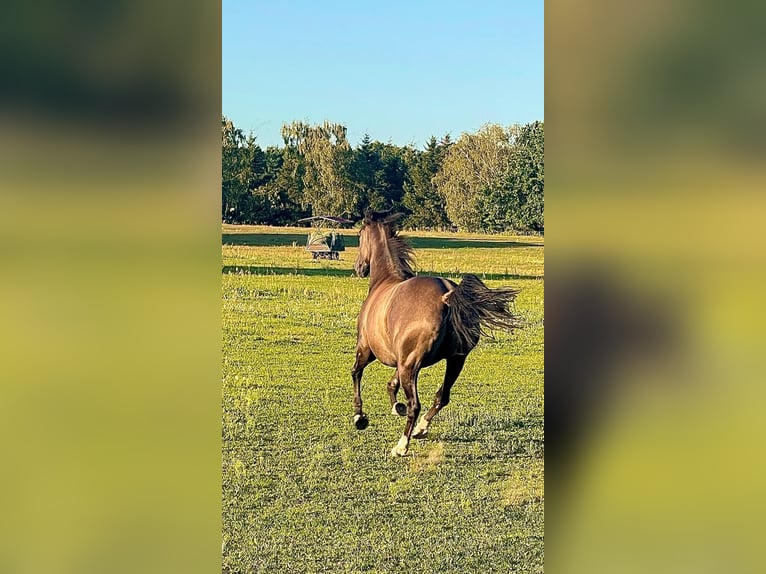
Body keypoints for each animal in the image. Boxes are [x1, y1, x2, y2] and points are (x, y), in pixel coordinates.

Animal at [351, 210, 521, 456]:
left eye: (359, 235)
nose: (359, 268)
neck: (385, 282)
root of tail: (446, 296)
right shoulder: (400, 359)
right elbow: (393, 383)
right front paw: (396, 407)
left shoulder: (366, 350)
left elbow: (356, 373)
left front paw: (359, 417)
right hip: (455, 360)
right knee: (442, 396)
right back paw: (420, 428)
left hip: (412, 365)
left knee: (415, 404)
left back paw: (402, 445)